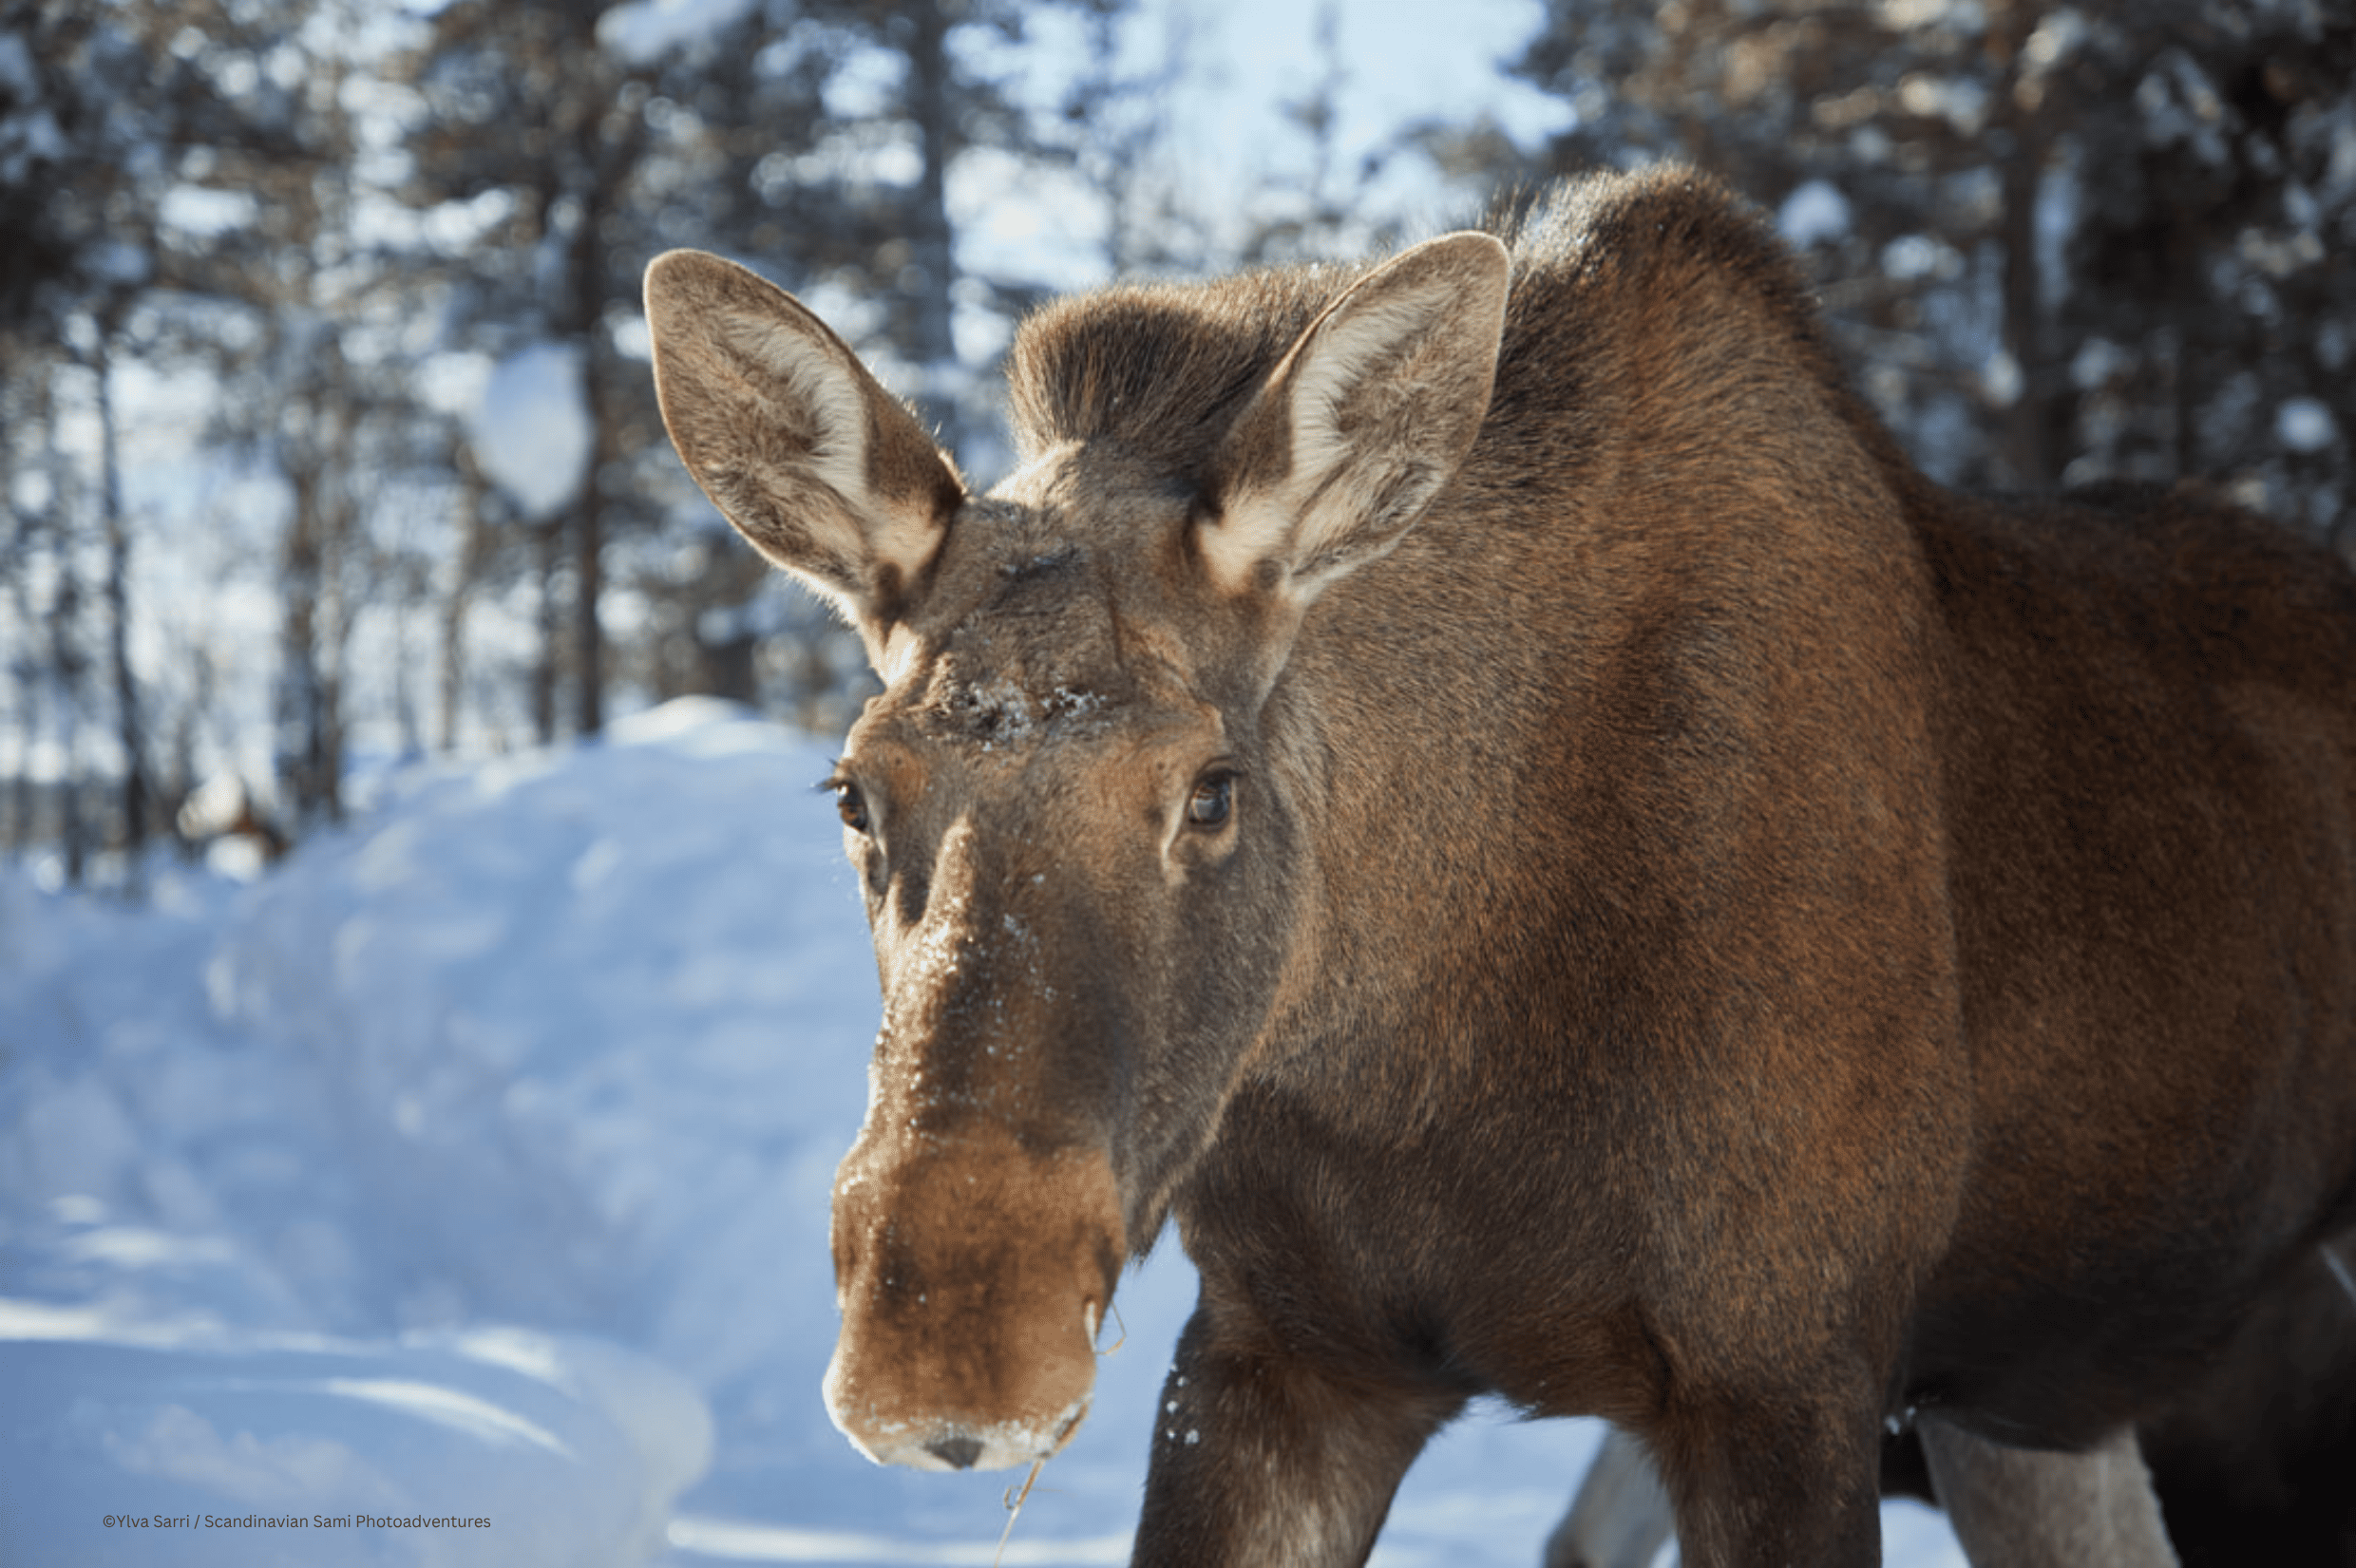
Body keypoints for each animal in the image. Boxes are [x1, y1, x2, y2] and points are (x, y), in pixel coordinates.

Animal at [641, 164, 2356, 1567]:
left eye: (1211, 789)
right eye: (854, 793)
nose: (948, 1348)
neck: (1431, 1046)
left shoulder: (1785, 1370)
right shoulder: (1287, 1352)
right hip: (2040, 1400)